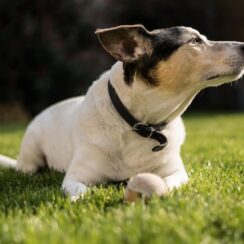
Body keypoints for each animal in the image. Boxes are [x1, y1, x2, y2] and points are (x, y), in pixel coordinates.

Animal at [0, 25, 244, 200]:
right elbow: (80, 192)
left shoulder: (177, 173)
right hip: (31, 154)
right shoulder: (75, 177)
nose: (243, 44)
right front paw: (82, 200)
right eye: (194, 41)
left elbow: (168, 183)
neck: (140, 125)